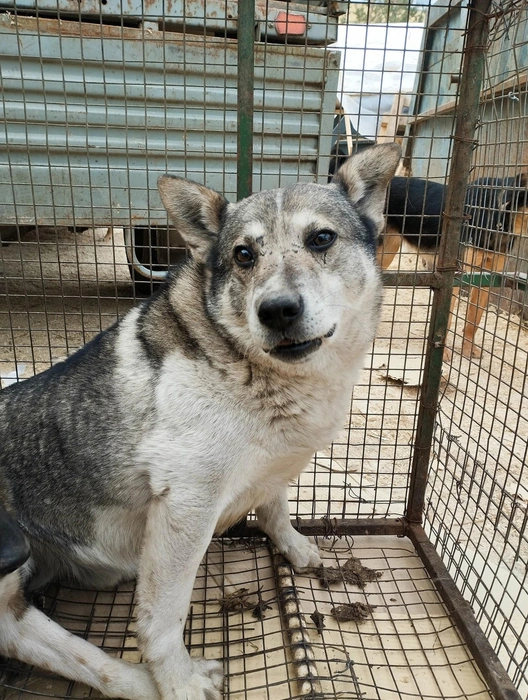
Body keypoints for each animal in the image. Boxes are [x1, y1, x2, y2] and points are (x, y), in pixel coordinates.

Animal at [0, 144, 400, 700]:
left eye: (321, 238)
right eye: (243, 255)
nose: (277, 310)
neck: (255, 372)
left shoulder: (270, 471)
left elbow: (275, 508)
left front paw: (294, 547)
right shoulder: (187, 504)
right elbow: (162, 617)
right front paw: (178, 678)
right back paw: (162, 683)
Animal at [378, 173, 528, 358]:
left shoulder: (486, 277)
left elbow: (474, 319)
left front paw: (468, 349)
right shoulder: (455, 274)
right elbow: (447, 318)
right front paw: (443, 352)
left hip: (387, 251)